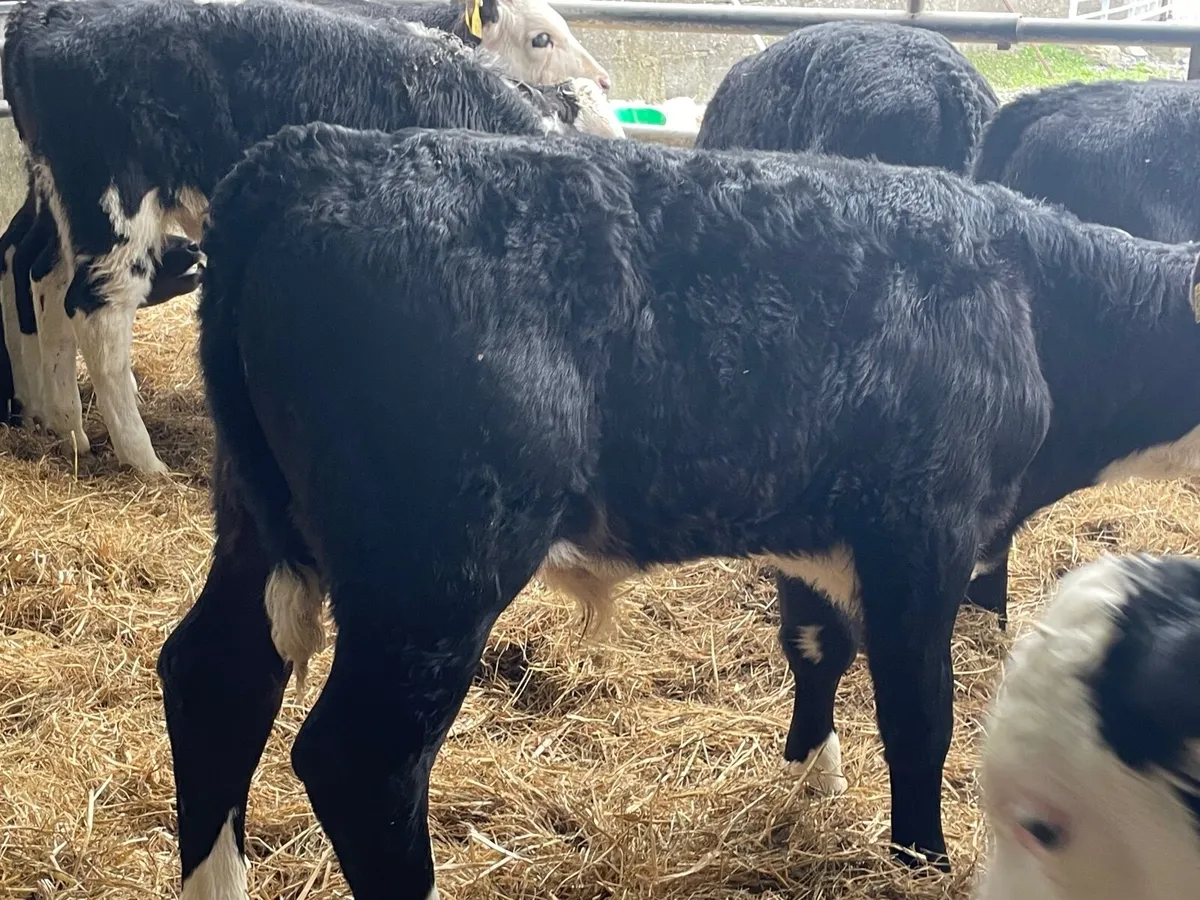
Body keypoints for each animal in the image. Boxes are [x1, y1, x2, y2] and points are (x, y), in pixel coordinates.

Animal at [155, 121, 1064, 900]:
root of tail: (311, 157)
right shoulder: (928, 527)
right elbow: (921, 710)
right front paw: (921, 860)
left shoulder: (822, 534)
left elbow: (820, 648)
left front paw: (814, 781)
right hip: (434, 565)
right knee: (361, 760)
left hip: (259, 521)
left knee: (215, 678)